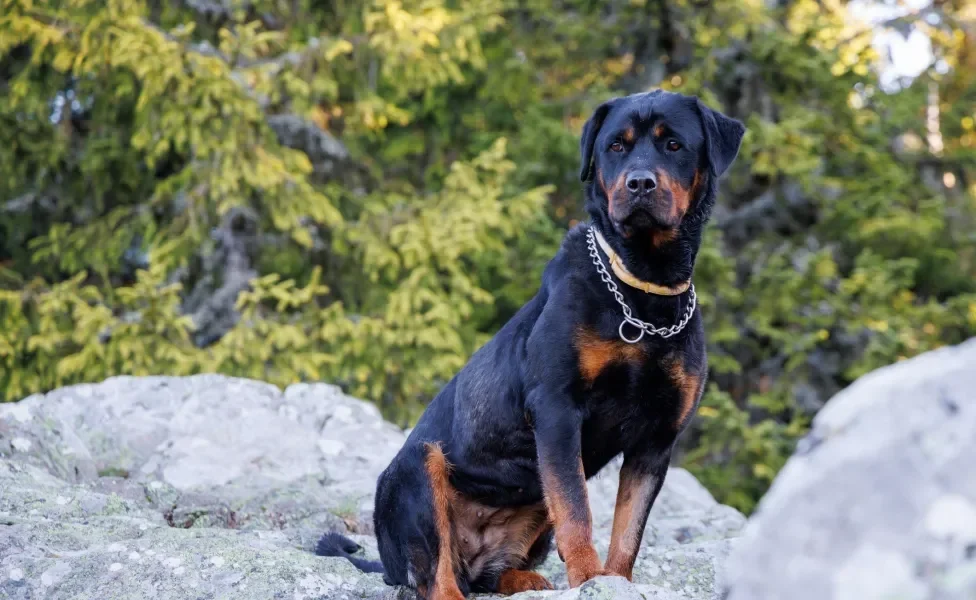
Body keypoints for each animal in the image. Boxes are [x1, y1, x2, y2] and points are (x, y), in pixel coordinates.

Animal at [316, 90, 744, 600]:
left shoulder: (657, 439)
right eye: (616, 147)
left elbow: (629, 529)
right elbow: (577, 508)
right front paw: (588, 577)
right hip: (417, 468)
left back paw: (523, 578)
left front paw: (615, 580)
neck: (642, 289)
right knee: (435, 574)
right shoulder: (557, 409)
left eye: (674, 144)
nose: (640, 182)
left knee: (491, 572)